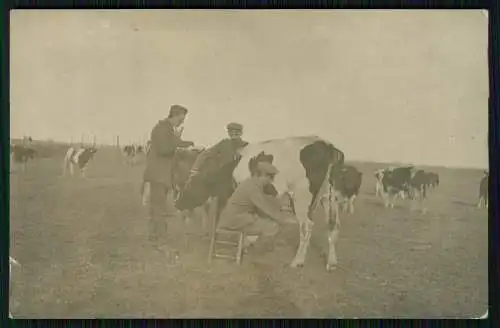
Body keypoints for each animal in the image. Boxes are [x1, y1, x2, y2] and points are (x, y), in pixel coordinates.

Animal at [177, 135, 348, 270]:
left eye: (190, 184)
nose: (177, 203)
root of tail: (326, 144)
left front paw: (246, 244)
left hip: (302, 196)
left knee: (306, 226)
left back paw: (297, 261)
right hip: (330, 197)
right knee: (334, 225)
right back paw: (331, 263)